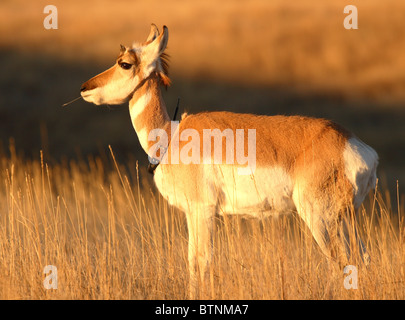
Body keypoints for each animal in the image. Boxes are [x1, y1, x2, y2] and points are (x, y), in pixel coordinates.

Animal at [79, 23, 376, 298]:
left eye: (125, 63)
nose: (84, 88)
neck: (171, 136)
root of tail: (355, 145)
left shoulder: (202, 211)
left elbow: (201, 262)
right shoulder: (192, 214)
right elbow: (191, 261)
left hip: (320, 219)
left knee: (342, 263)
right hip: (345, 220)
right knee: (362, 259)